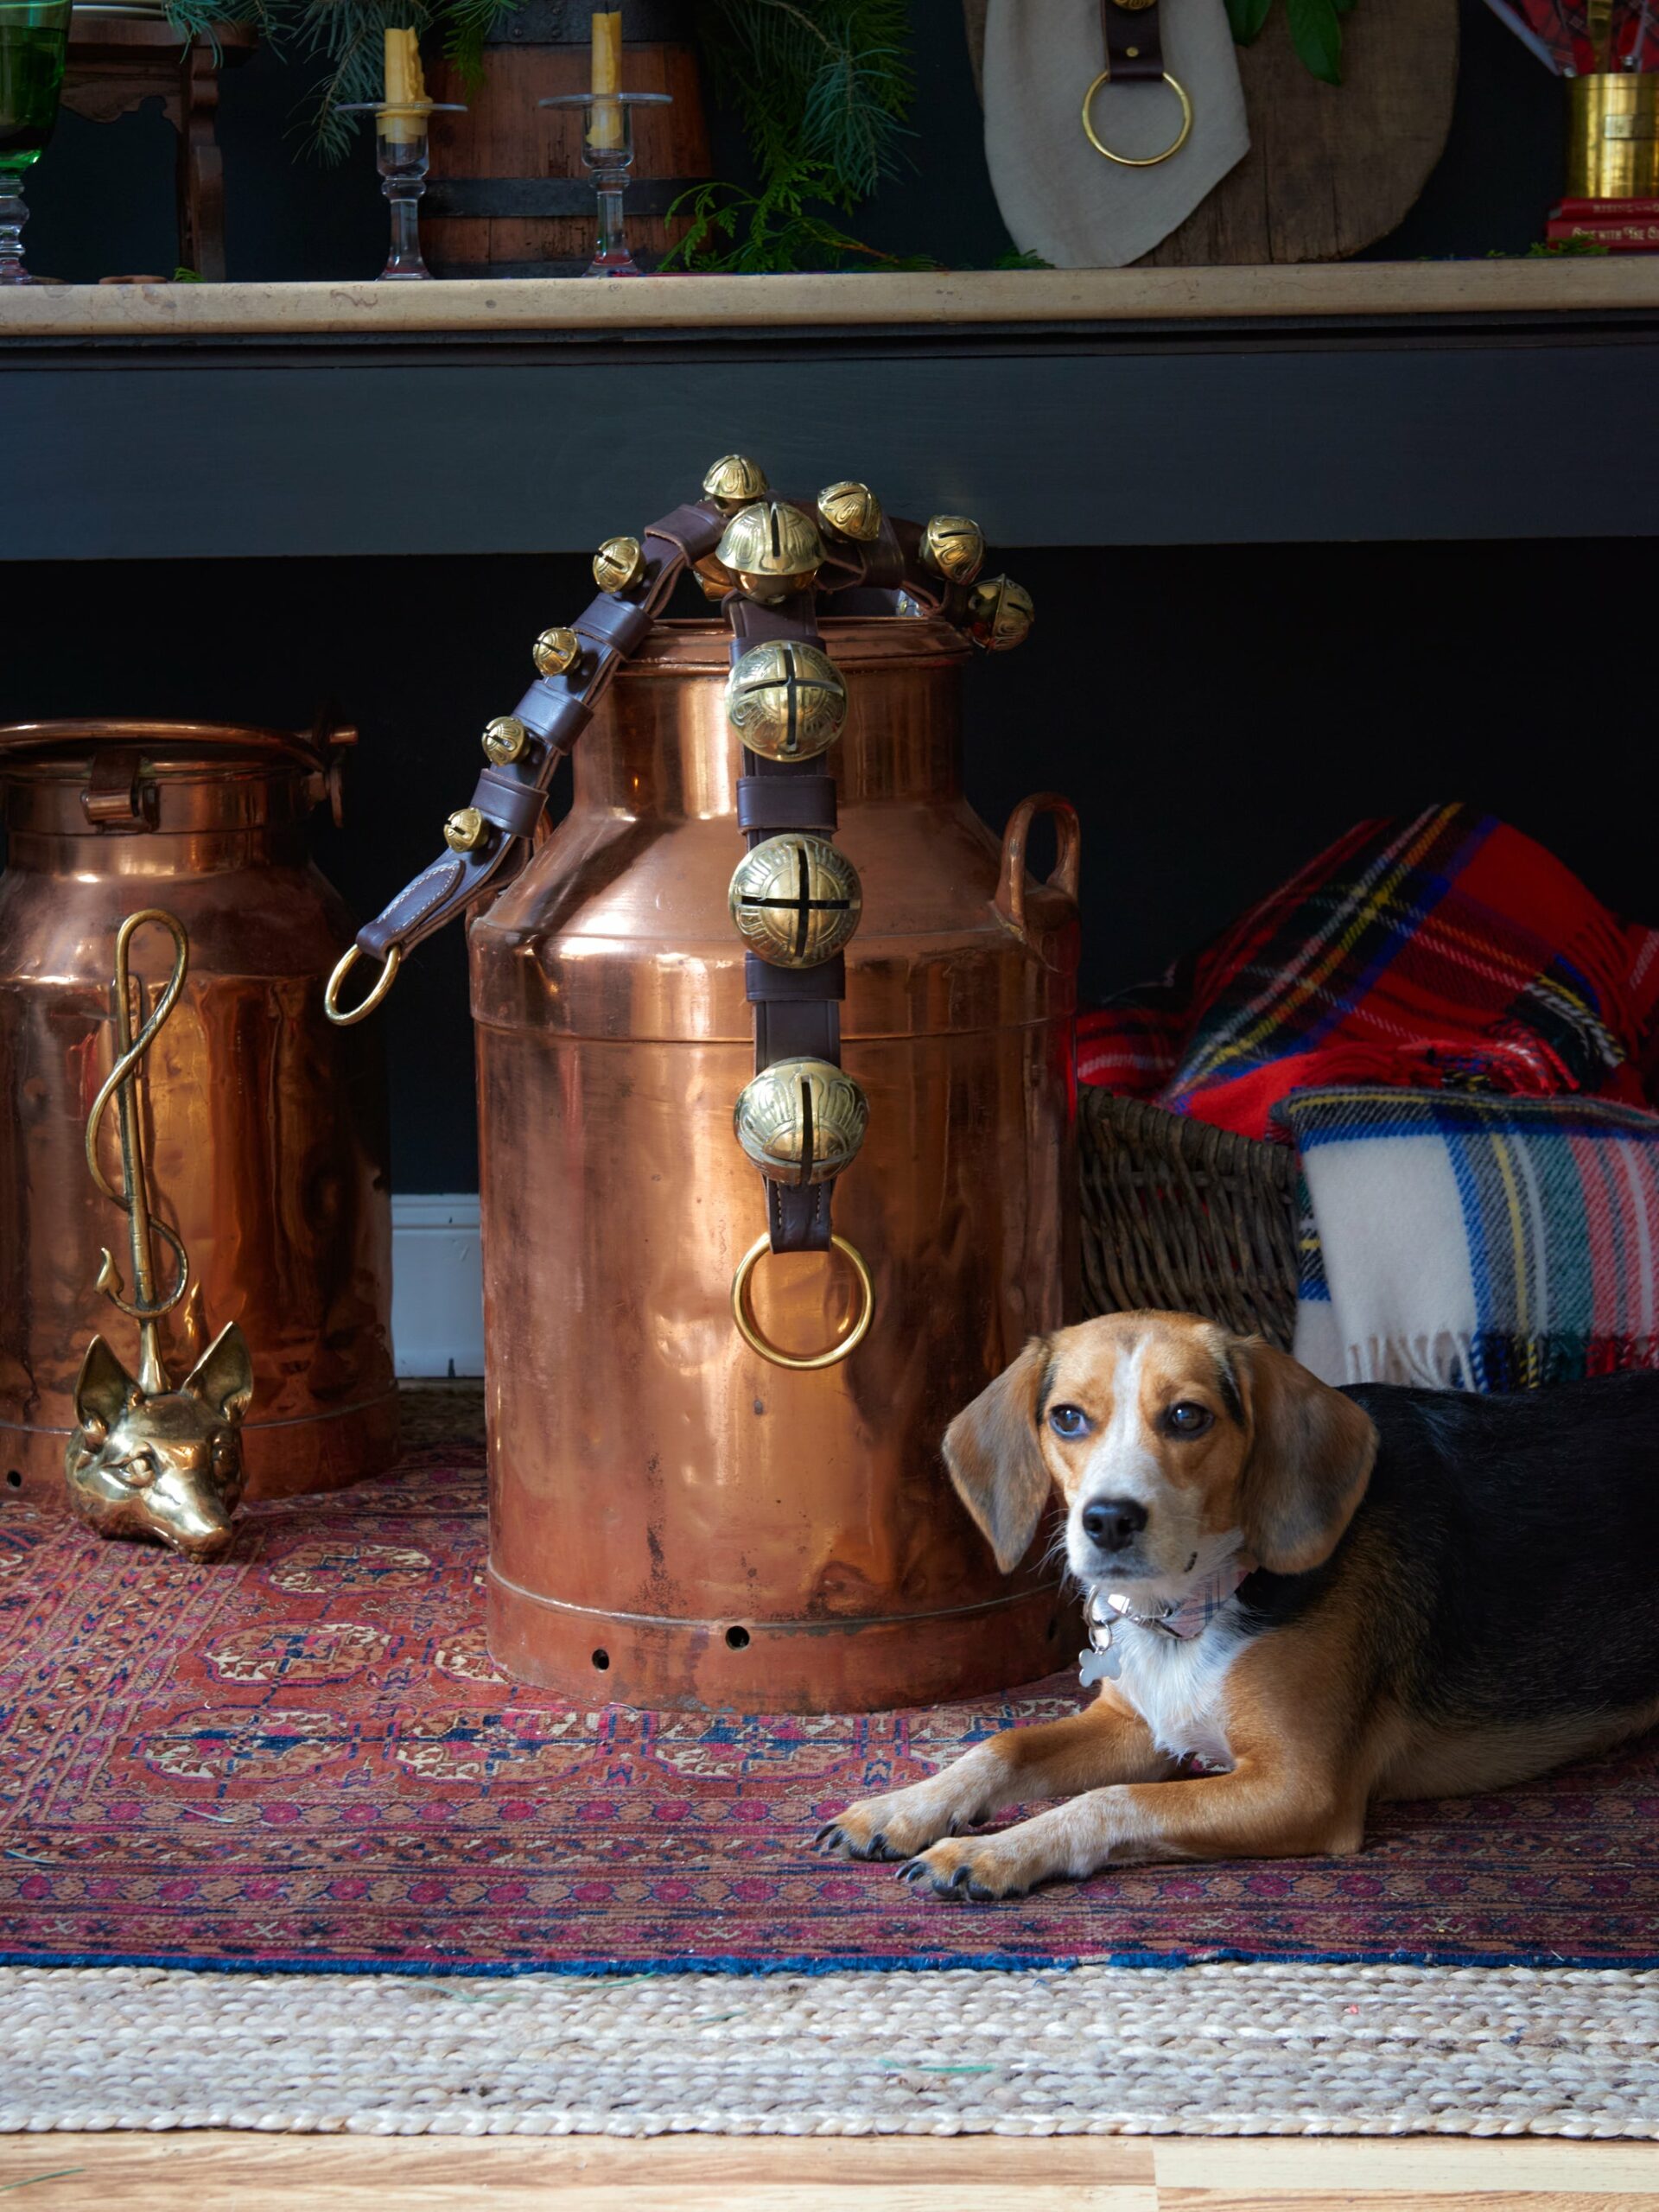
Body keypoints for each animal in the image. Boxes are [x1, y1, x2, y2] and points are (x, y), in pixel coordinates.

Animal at [814, 1309, 1659, 1902]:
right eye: (1067, 1418)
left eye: (1188, 1416)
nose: (1109, 1520)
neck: (1191, 1608)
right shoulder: (1136, 1726)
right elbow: (1002, 1746)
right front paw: (903, 1808)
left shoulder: (1300, 1790)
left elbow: (1106, 1802)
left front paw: (991, 1851)